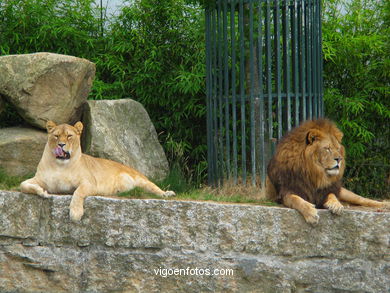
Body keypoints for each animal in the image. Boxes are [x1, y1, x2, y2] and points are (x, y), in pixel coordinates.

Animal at [19, 120, 175, 220]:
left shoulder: (90, 183)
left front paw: (75, 213)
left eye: (69, 136)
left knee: (154, 188)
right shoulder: (39, 179)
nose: (61, 145)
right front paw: (42, 192)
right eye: (56, 136)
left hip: (142, 180)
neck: (60, 165)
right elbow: (23, 185)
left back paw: (167, 194)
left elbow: (78, 192)